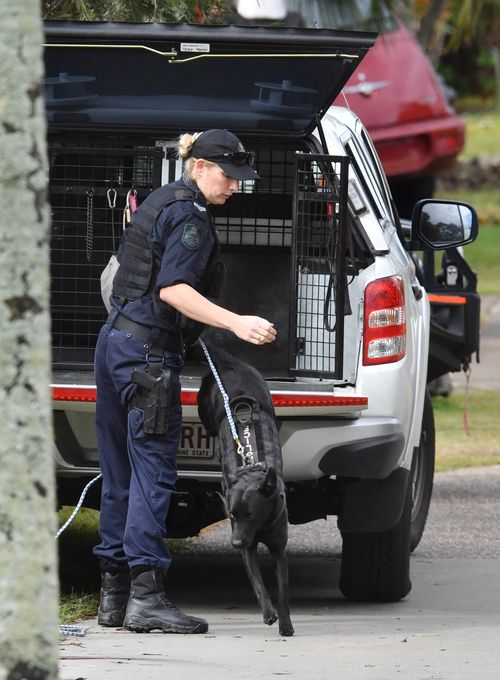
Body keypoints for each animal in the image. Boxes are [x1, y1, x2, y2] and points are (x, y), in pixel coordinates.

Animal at [197, 346, 294, 636]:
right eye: (231, 516)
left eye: (250, 516)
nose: (235, 543)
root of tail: (230, 363)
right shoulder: (248, 549)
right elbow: (259, 583)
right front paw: (269, 613)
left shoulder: (278, 549)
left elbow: (282, 590)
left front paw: (286, 624)